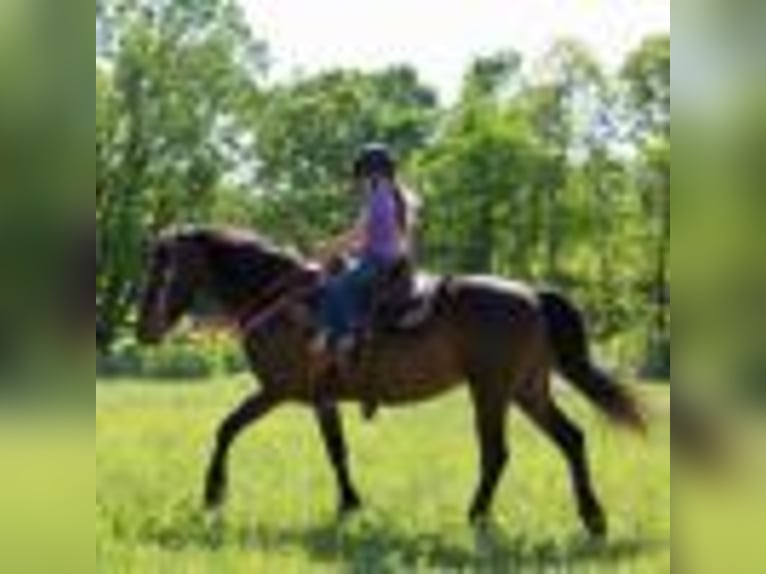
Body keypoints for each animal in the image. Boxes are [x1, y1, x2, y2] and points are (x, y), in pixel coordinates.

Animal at [136, 226, 646, 538]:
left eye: (162, 271)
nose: (143, 330)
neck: (279, 300)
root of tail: (532, 295)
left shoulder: (277, 391)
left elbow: (226, 428)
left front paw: (213, 494)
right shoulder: (321, 399)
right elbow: (336, 451)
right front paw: (349, 505)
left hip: (492, 391)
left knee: (497, 453)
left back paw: (478, 516)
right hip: (527, 390)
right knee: (571, 439)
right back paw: (593, 519)